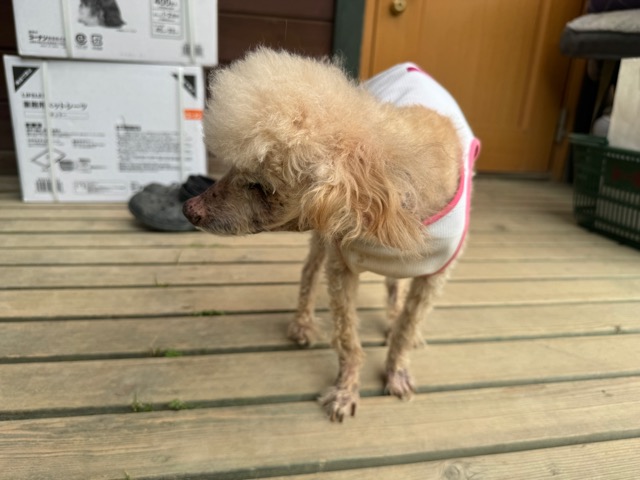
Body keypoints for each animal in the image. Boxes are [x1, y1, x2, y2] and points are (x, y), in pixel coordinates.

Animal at [183, 48, 480, 422]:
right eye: (233, 169)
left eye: (261, 186)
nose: (189, 209)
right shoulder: (341, 265)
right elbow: (348, 339)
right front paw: (345, 391)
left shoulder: (434, 274)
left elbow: (407, 327)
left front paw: (397, 368)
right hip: (322, 242)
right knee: (309, 271)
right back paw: (302, 324)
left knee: (393, 286)